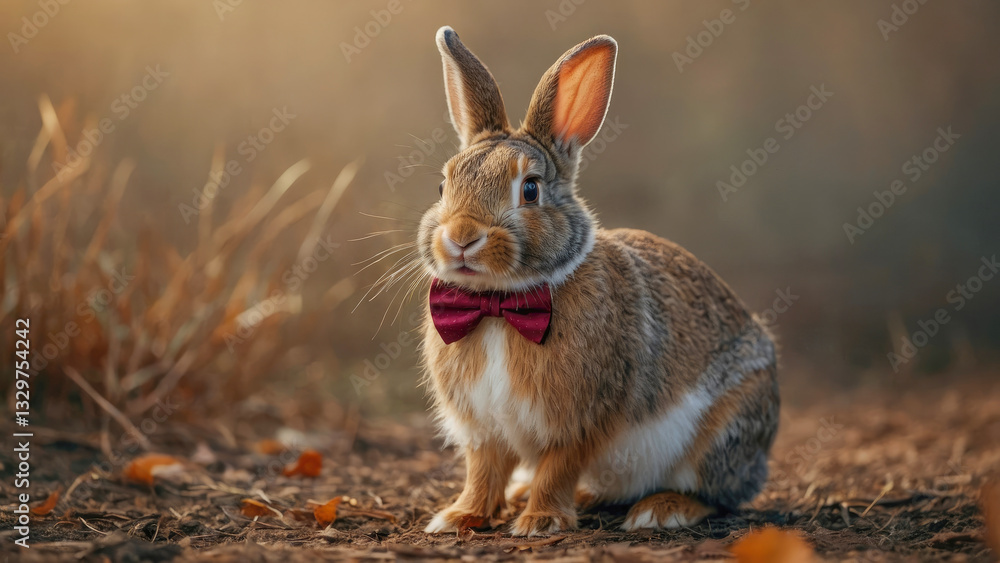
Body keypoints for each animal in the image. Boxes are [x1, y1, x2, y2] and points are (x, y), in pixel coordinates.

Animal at [416, 26, 779, 537]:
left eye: (530, 190)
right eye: (443, 186)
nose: (462, 237)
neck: (499, 305)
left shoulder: (580, 421)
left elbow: (558, 467)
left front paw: (540, 522)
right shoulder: (483, 429)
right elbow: (483, 471)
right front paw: (457, 517)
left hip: (721, 437)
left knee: (717, 495)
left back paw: (660, 510)